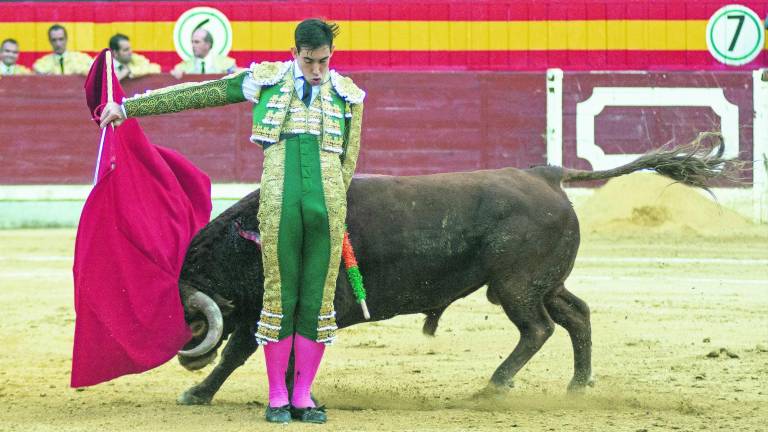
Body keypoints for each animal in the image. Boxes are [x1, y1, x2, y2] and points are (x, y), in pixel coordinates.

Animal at [176, 135, 732, 404]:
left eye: (191, 317)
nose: (186, 359)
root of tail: (546, 175)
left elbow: (251, 352)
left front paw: (200, 393)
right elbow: (256, 350)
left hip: (514, 286)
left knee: (539, 328)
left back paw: (493, 387)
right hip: (542, 282)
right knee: (577, 314)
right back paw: (577, 386)